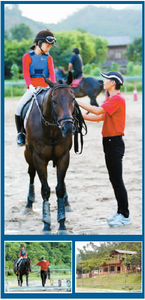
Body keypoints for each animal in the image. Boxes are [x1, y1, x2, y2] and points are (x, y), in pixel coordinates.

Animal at [22, 72, 86, 234]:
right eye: (54, 101)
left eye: (73, 99)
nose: (68, 128)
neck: (51, 128)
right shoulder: (38, 158)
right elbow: (45, 190)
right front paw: (46, 224)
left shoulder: (63, 157)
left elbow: (60, 188)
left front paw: (62, 223)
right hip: (28, 154)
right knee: (31, 174)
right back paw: (28, 204)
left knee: (61, 182)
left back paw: (67, 202)